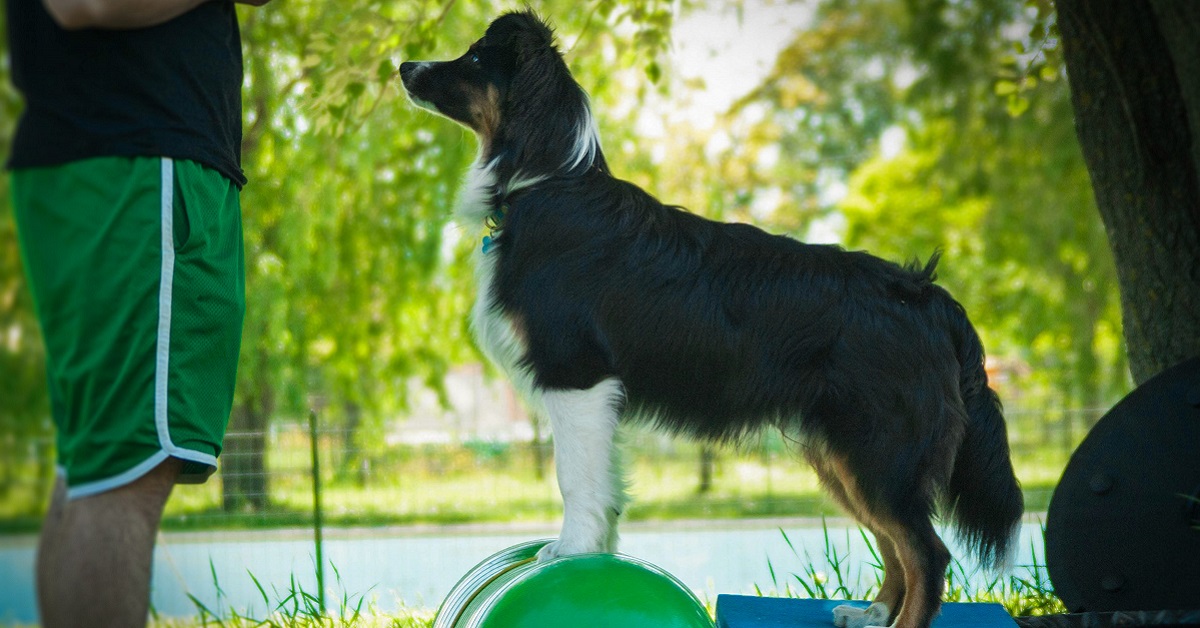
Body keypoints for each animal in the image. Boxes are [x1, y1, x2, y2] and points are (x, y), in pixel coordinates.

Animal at [400, 11, 1022, 628]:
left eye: (475, 57)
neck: (546, 181)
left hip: (879, 450)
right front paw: (601, 550)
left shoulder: (576, 375)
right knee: (896, 544)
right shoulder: (598, 395)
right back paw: (870, 614)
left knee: (927, 553)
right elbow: (605, 485)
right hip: (843, 453)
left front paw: (570, 551)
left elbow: (574, 479)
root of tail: (930, 296)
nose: (404, 66)